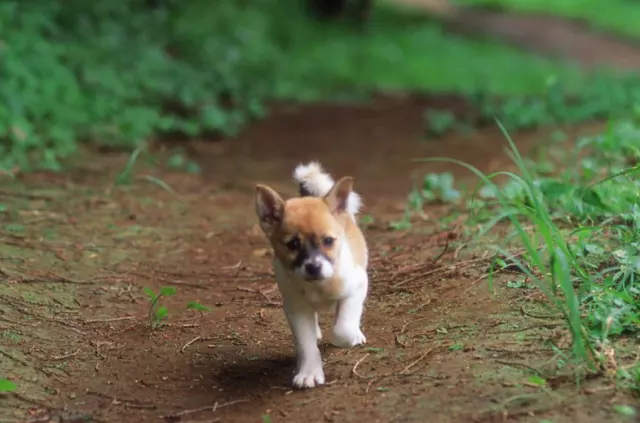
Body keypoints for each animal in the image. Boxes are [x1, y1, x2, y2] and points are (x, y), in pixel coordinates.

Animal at [252, 163, 368, 390]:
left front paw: (350, 336)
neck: (318, 286)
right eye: (292, 245)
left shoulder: (357, 286)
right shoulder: (296, 308)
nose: (314, 267)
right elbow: (306, 344)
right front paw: (309, 372)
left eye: (328, 241)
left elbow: (342, 329)